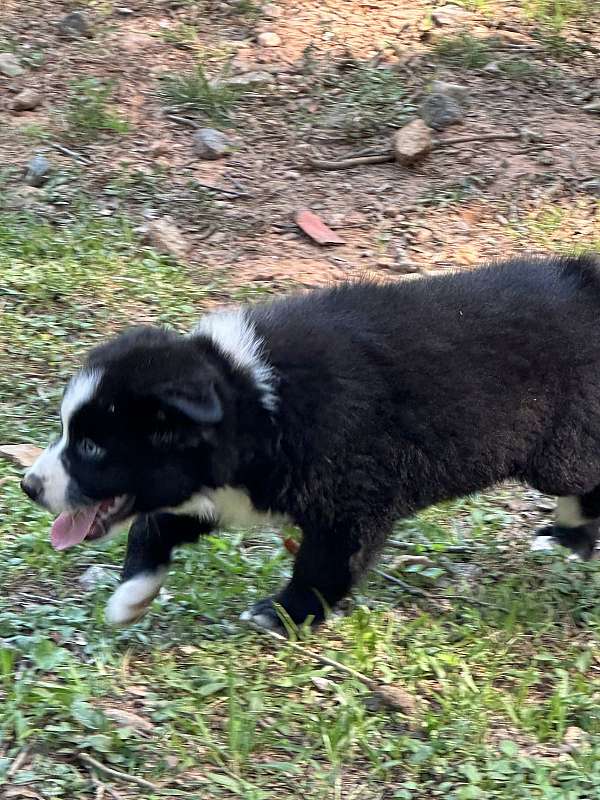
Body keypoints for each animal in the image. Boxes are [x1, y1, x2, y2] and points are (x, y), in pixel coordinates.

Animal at [21, 256, 600, 632]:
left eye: (93, 448)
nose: (28, 485)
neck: (254, 397)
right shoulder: (227, 490)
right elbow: (155, 524)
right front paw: (130, 598)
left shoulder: (352, 501)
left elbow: (325, 566)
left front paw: (283, 614)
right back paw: (568, 539)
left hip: (562, 449)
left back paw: (571, 537)